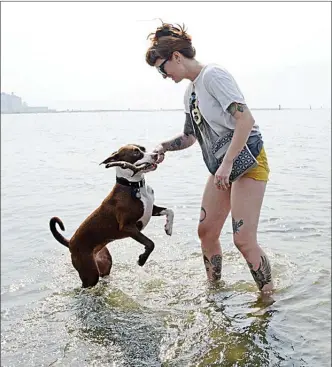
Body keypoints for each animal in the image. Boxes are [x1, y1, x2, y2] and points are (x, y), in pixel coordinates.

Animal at [50, 145, 174, 288]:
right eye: (136, 152)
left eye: (143, 148)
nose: (156, 154)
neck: (133, 186)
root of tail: (70, 242)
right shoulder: (127, 227)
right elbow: (150, 243)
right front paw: (142, 259)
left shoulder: (151, 209)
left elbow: (170, 211)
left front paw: (168, 228)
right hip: (90, 273)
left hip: (104, 262)